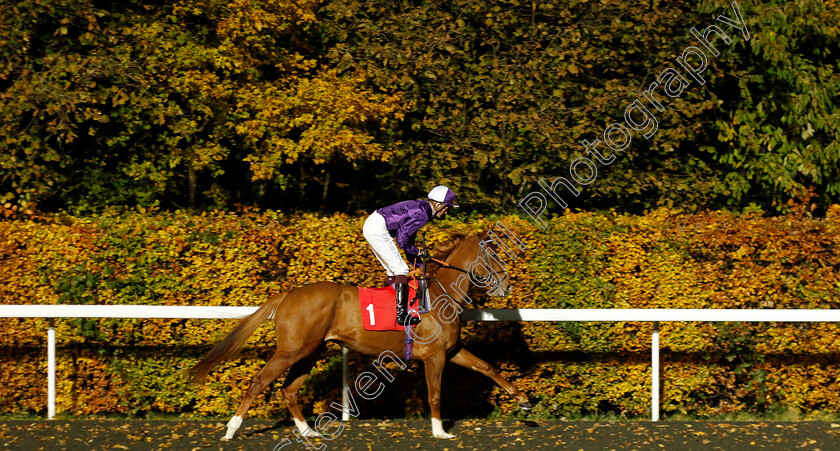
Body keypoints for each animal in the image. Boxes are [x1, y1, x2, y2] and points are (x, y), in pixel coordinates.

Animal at [191, 233, 532, 442]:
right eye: (494, 254)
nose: (508, 284)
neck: (439, 295)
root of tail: (289, 294)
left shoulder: (451, 350)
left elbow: (488, 367)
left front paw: (524, 400)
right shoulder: (434, 357)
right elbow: (435, 394)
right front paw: (440, 431)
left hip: (310, 351)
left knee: (289, 390)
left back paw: (308, 432)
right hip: (292, 350)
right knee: (259, 381)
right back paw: (231, 429)